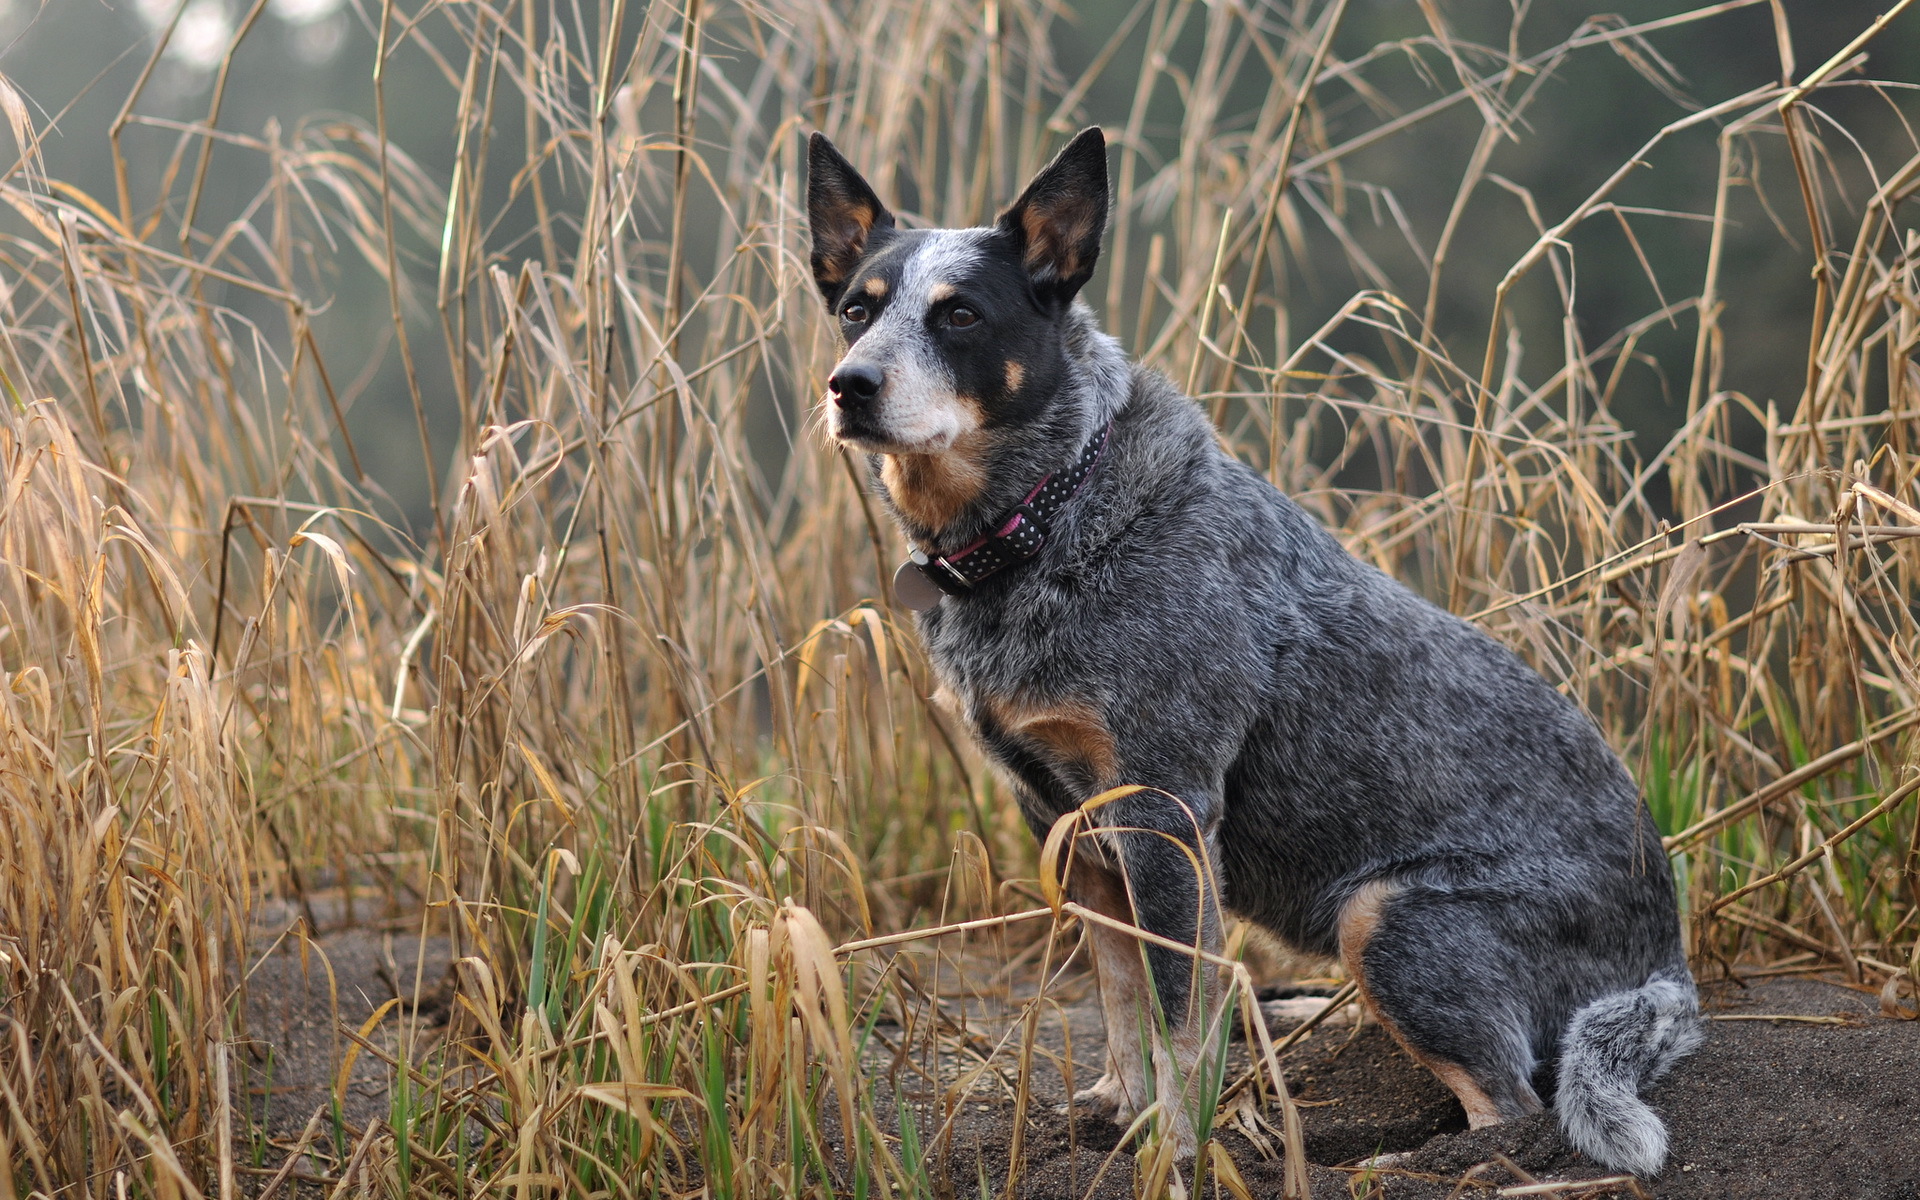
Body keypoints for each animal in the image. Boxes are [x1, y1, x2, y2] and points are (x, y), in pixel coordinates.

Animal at [802, 126, 1704, 1175]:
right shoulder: (1064, 818)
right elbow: (1120, 996)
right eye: (857, 310)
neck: (1051, 515)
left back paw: (1414, 1164)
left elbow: (1180, 1015)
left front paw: (1175, 1147)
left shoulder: (1163, 808)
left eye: (959, 315)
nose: (851, 385)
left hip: (1385, 915)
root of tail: (1671, 960)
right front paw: (1121, 1110)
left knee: (1514, 1104)